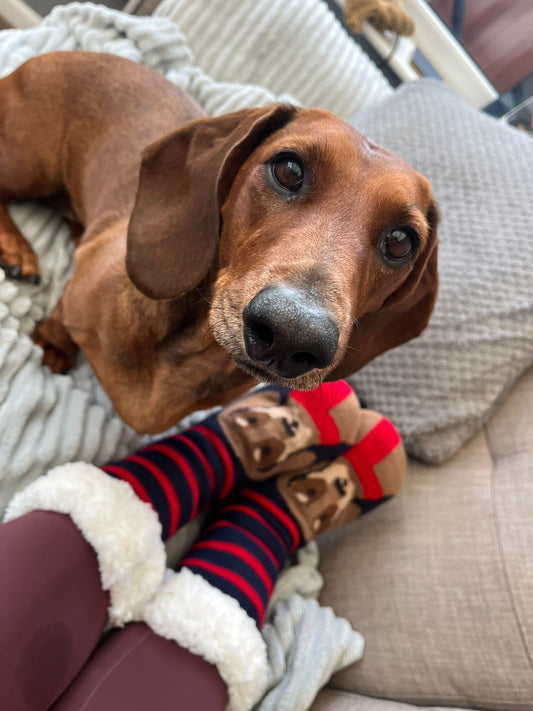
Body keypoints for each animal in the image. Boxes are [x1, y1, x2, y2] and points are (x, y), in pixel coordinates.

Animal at [0, 51, 438, 434]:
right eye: (289, 169)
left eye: (401, 241)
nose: (293, 335)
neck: (193, 350)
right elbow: (60, 323)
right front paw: (51, 346)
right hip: (29, 166)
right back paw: (18, 249)